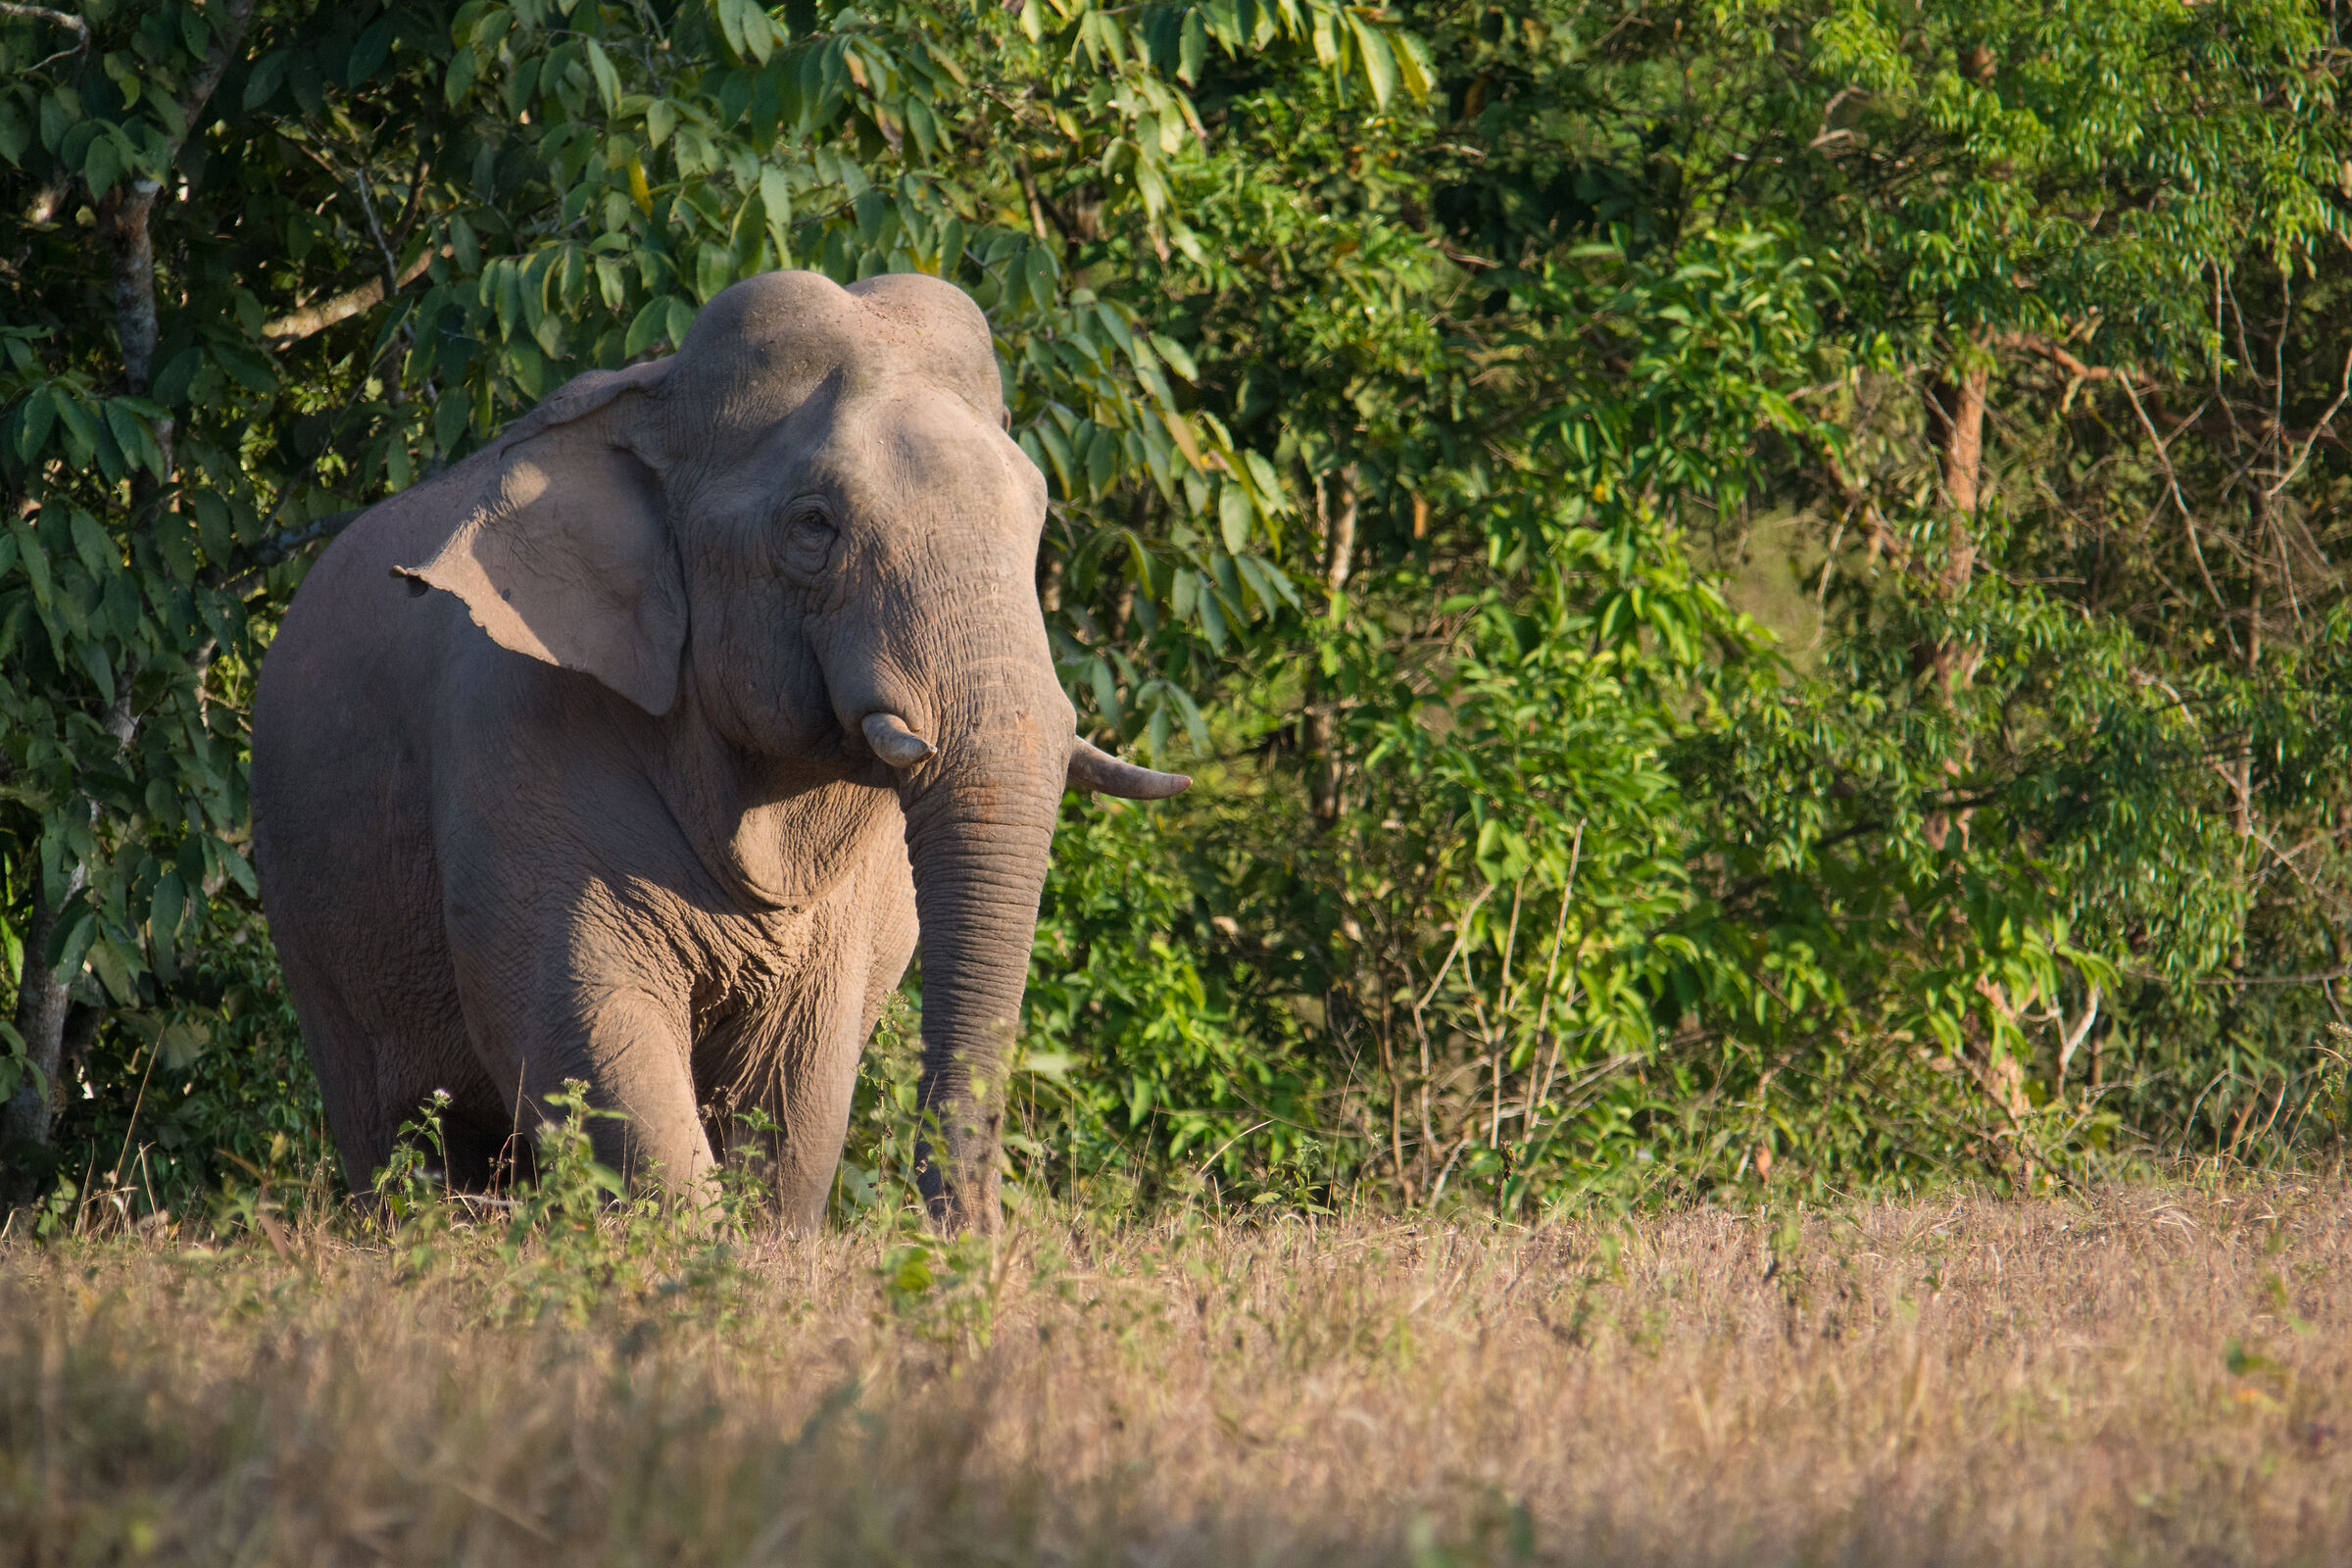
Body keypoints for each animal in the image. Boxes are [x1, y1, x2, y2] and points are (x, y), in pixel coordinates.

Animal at [249, 269, 1187, 1232]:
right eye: (814, 525)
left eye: (1038, 515)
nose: (974, 1237)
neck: (650, 404)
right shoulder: (511, 728)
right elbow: (580, 1028)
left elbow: (799, 1087)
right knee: (388, 1133)